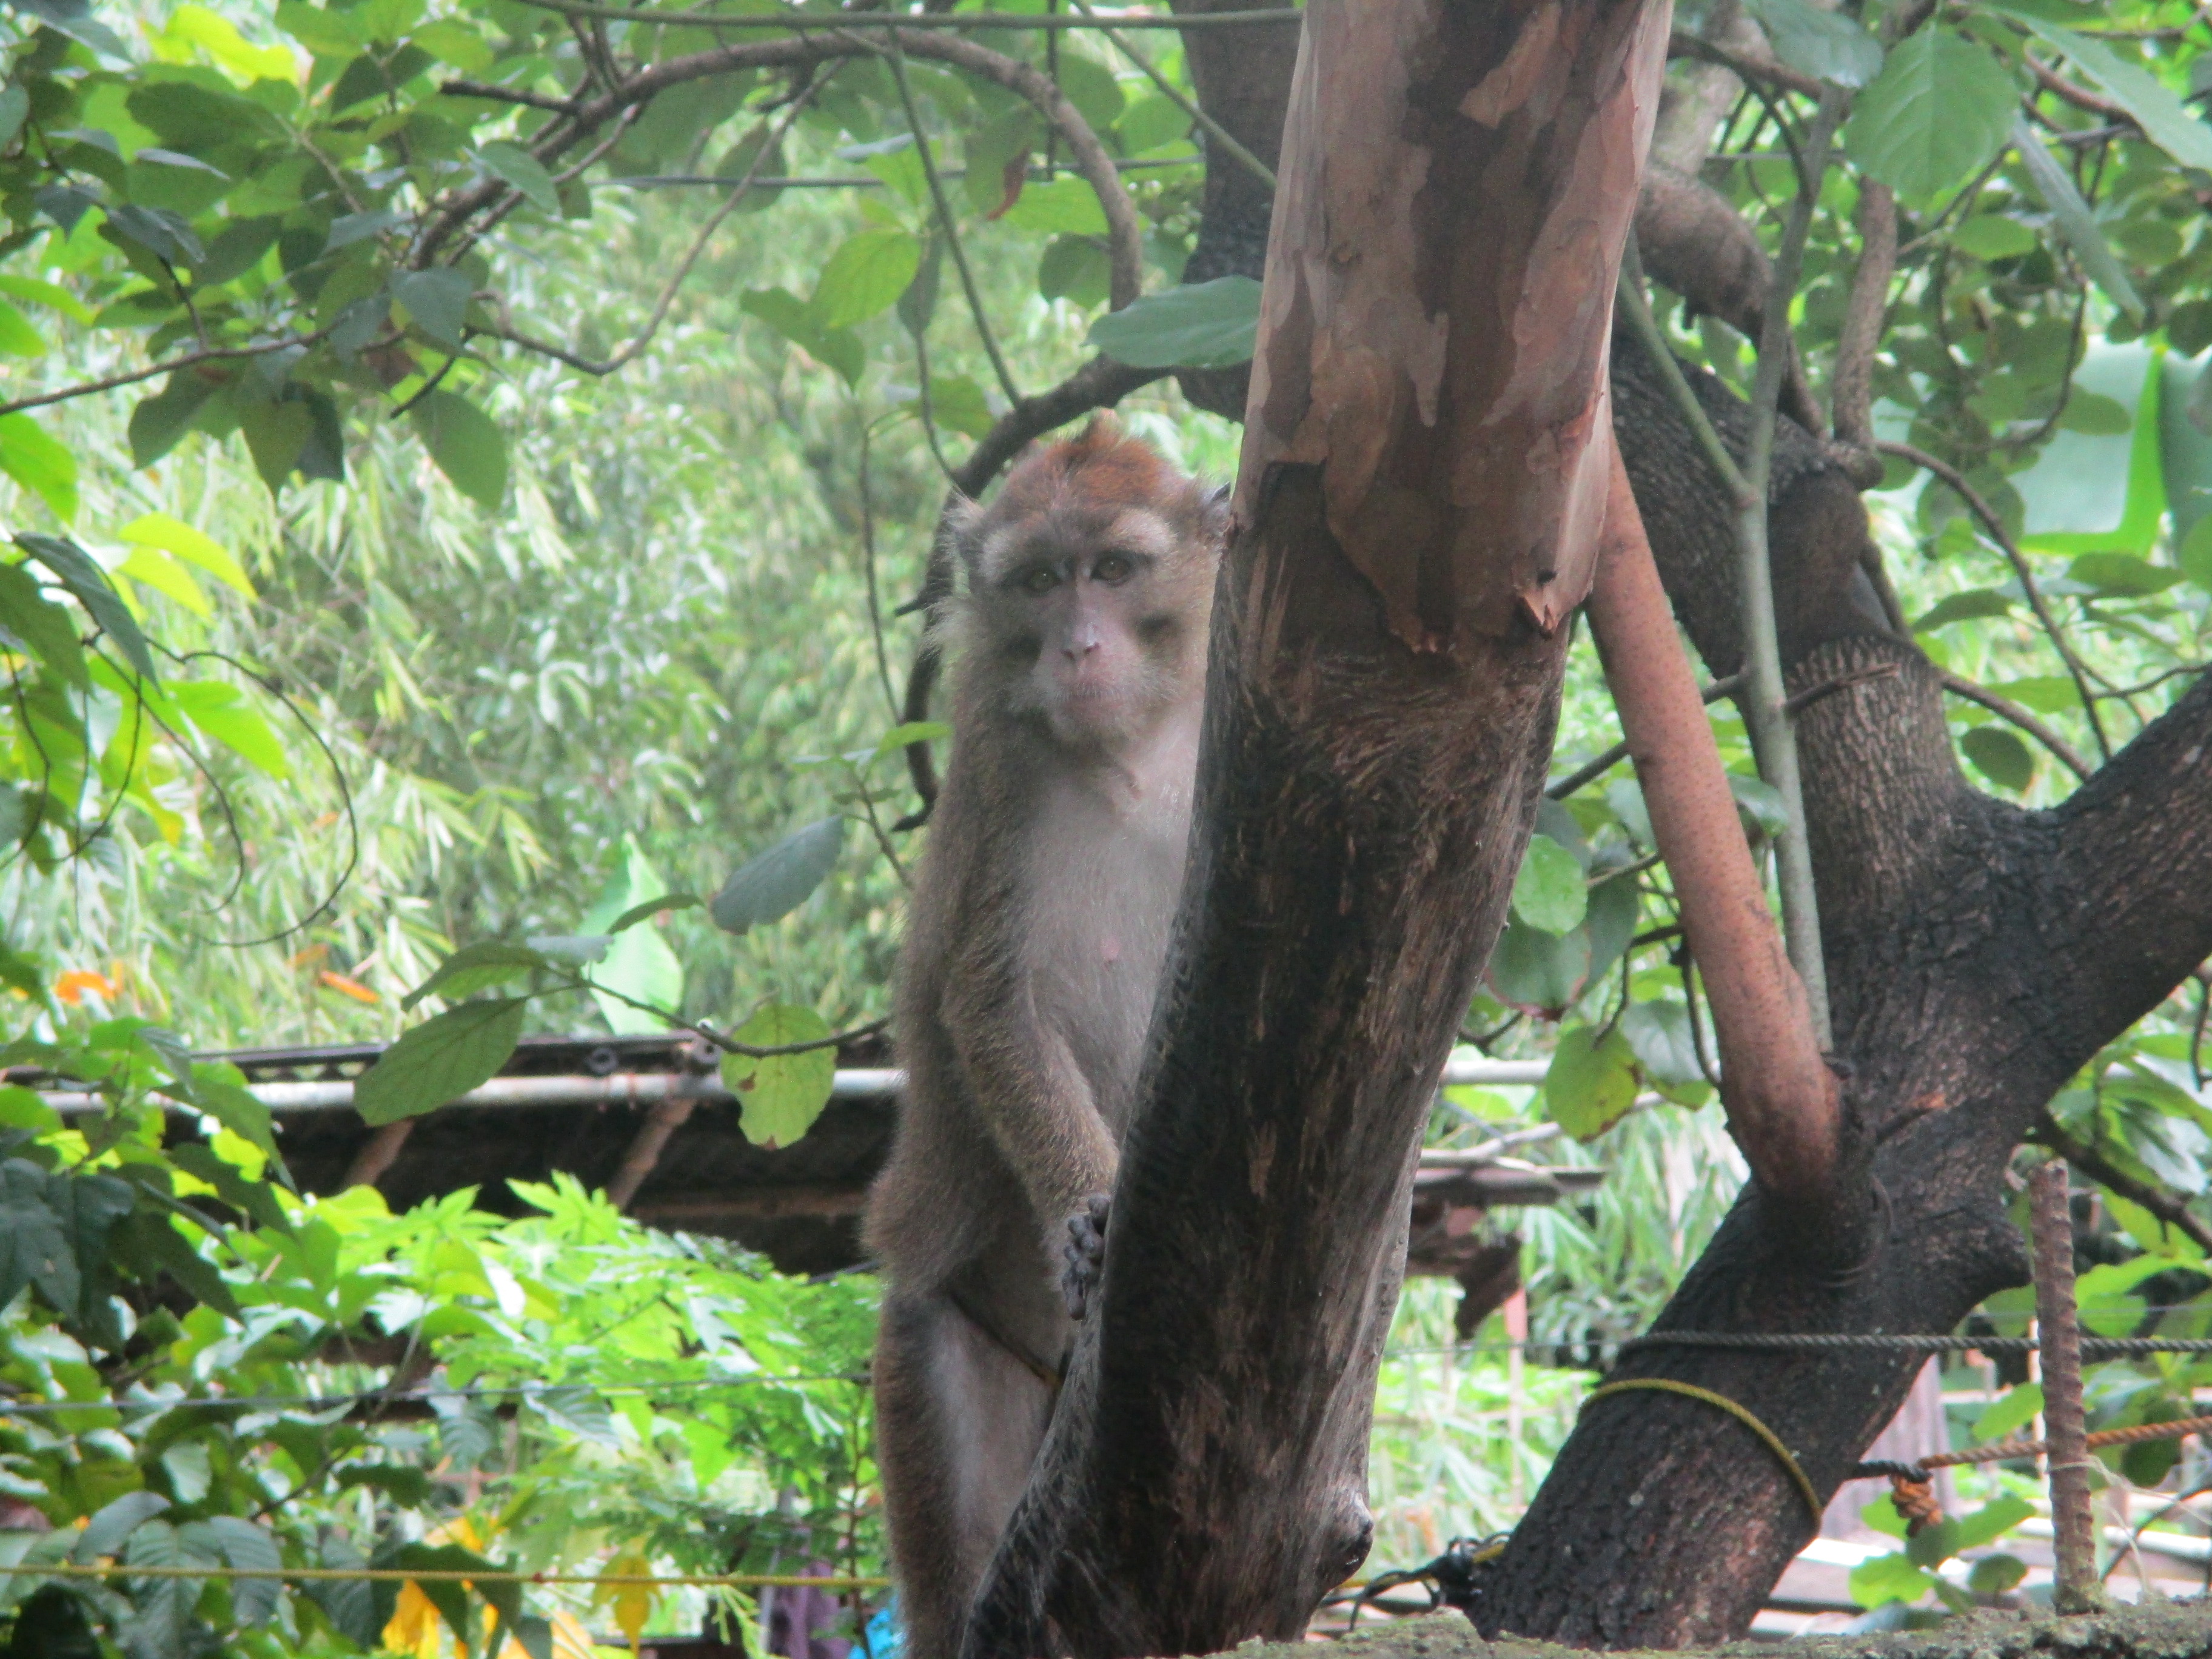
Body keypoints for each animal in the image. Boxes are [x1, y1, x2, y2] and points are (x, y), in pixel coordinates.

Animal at [864, 418, 1225, 1659]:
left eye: (1112, 569)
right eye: (1036, 582)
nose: (1076, 646)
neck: (1132, 751)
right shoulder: (994, 768)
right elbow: (990, 1007)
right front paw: (1088, 1216)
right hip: (944, 1333)